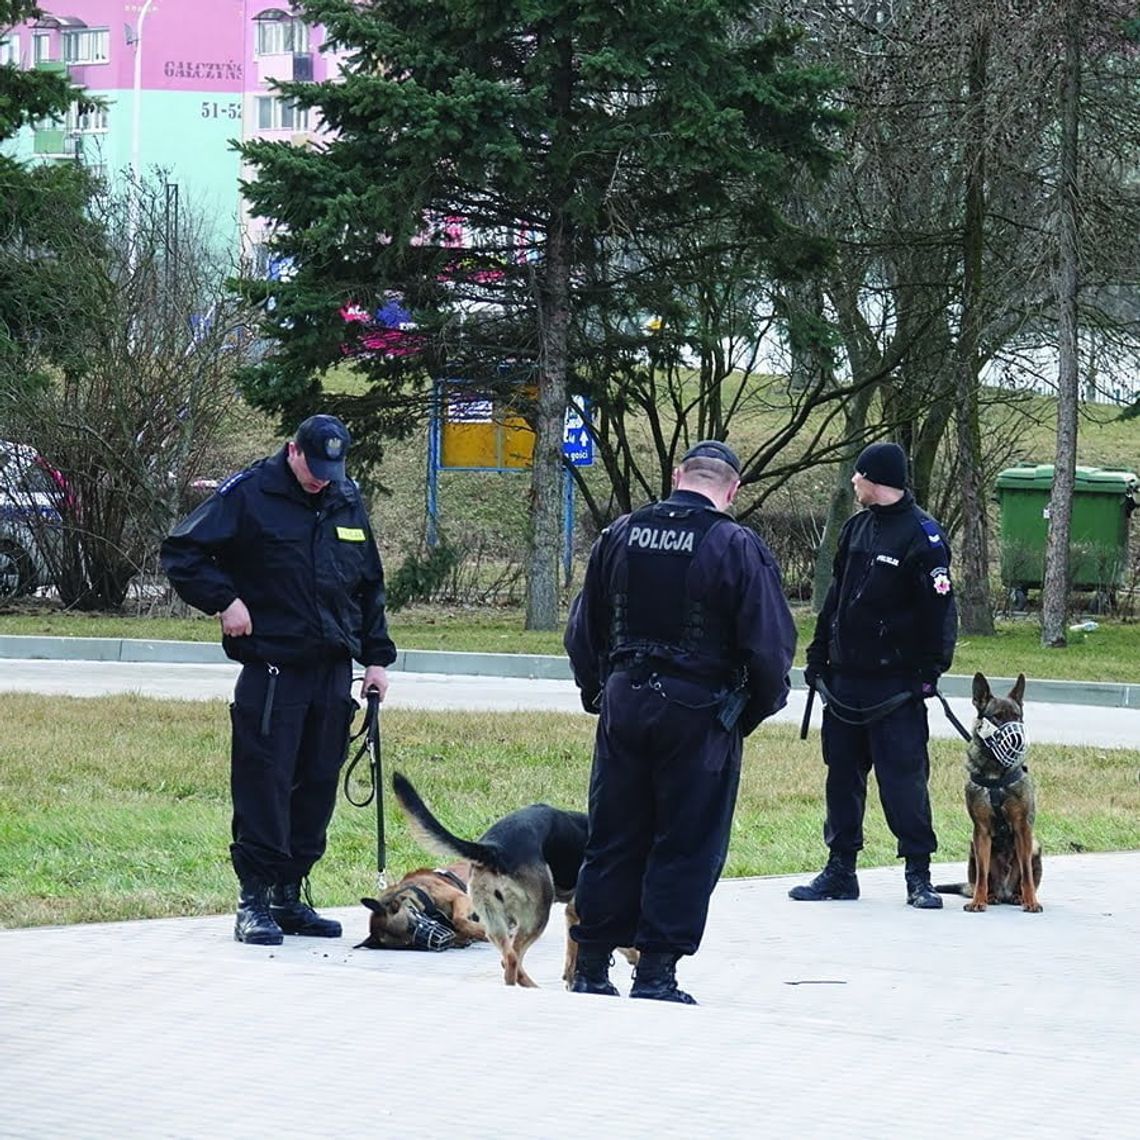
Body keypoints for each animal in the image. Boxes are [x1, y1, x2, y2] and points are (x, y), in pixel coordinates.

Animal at [353, 861, 483, 953]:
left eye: (411, 927)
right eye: (411, 944)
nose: (442, 941)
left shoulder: (461, 897)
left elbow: (459, 920)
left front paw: (480, 931)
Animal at [392, 775, 588, 989]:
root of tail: (494, 848)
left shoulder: (572, 914)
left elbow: (571, 956)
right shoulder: (575, 912)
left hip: (494, 919)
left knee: (508, 958)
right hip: (535, 916)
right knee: (513, 957)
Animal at [934, 670, 1044, 912]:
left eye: (1017, 717)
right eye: (996, 717)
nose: (1017, 740)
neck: (996, 773)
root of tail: (1005, 892)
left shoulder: (1023, 828)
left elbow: (1026, 874)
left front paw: (1031, 901)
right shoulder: (981, 831)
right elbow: (983, 875)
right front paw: (978, 901)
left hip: (1035, 846)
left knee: (1024, 877)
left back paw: (1019, 896)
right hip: (972, 846)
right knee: (980, 878)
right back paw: (991, 896)